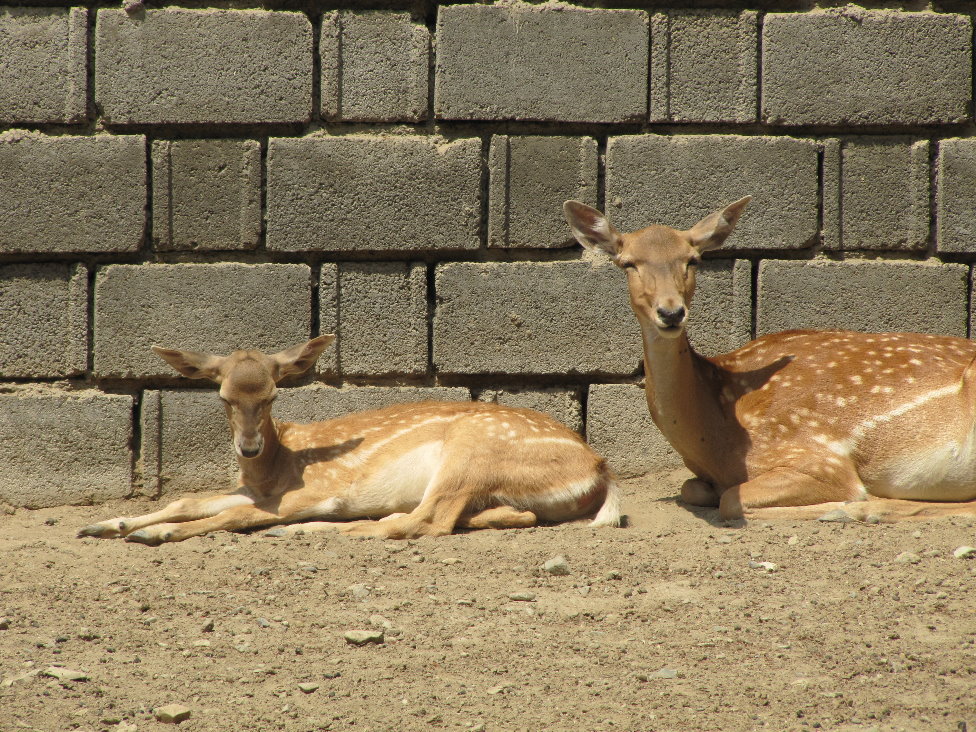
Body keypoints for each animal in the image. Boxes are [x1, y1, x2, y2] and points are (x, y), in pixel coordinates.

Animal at [78, 335, 621, 545]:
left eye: (273, 395)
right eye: (224, 396)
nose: (248, 447)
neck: (276, 467)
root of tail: (600, 469)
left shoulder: (317, 489)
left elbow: (232, 517)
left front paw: (152, 535)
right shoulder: (253, 488)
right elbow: (187, 500)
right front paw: (107, 523)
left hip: (473, 451)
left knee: (426, 521)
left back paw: (330, 530)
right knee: (505, 515)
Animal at [564, 196, 976, 523]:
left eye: (693, 260)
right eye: (628, 263)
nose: (671, 312)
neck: (714, 437)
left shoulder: (818, 457)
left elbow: (732, 499)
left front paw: (849, 502)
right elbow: (691, 488)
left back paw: (858, 509)